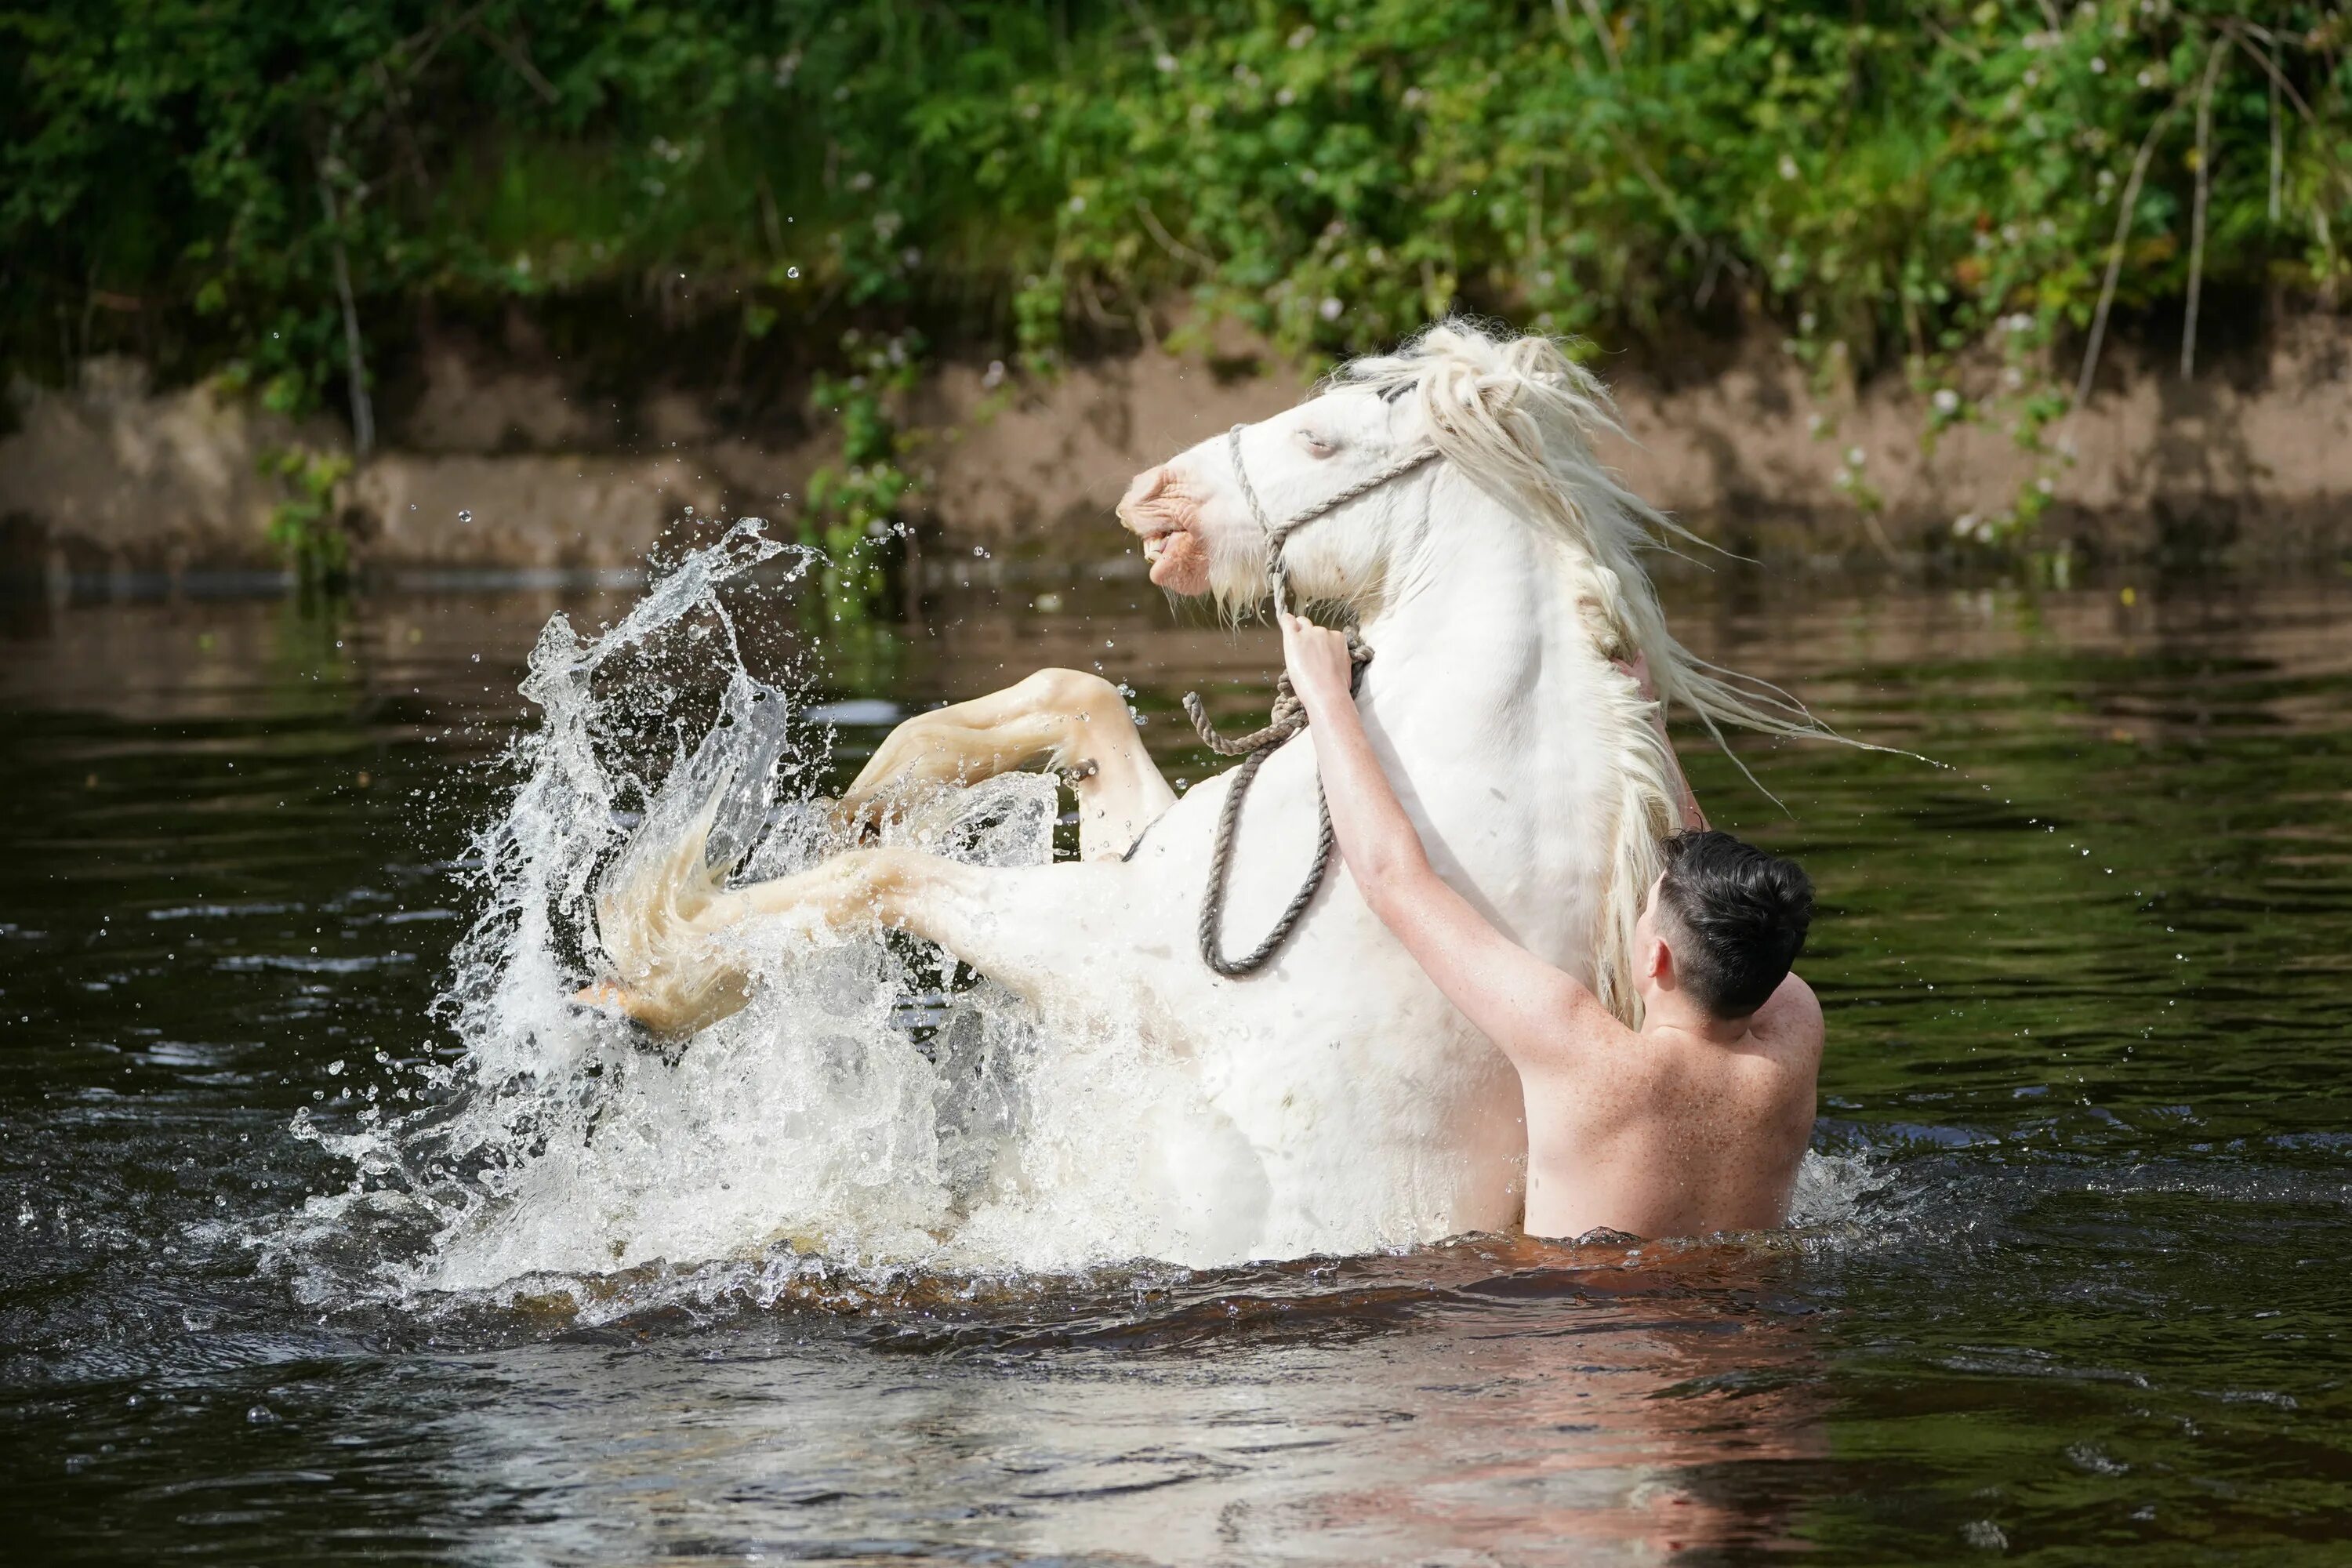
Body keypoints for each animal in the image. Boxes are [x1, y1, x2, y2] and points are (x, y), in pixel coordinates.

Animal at [588, 319, 1816, 1260]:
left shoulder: (1111, 950)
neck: (1443, 793)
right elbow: (1074, 698)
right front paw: (891, 776)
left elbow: (882, 876)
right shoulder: (1147, 865)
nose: (1150, 495)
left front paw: (659, 962)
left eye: (1321, 438)